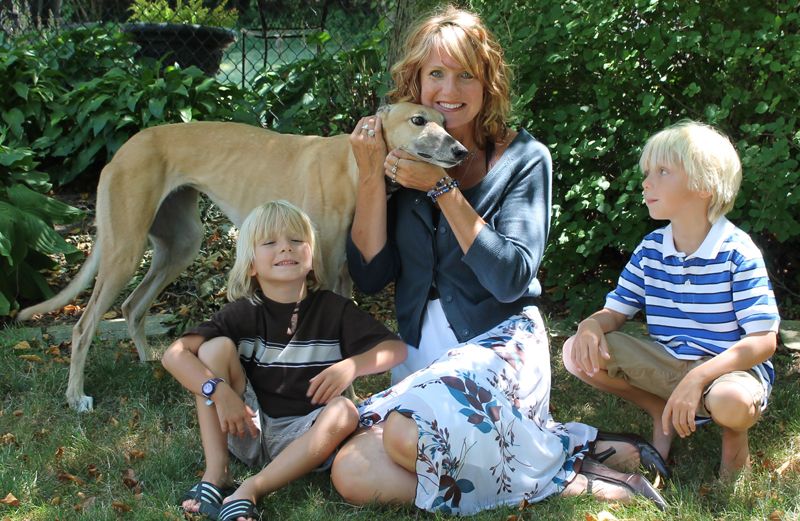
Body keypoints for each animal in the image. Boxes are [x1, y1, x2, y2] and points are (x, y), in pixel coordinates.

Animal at [20, 102, 468, 410]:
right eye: (418, 120)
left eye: (445, 122)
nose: (461, 151)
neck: (353, 164)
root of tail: (124, 150)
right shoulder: (322, 272)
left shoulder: (342, 278)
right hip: (124, 250)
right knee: (84, 326)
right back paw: (76, 397)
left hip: (179, 245)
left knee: (132, 306)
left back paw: (151, 365)